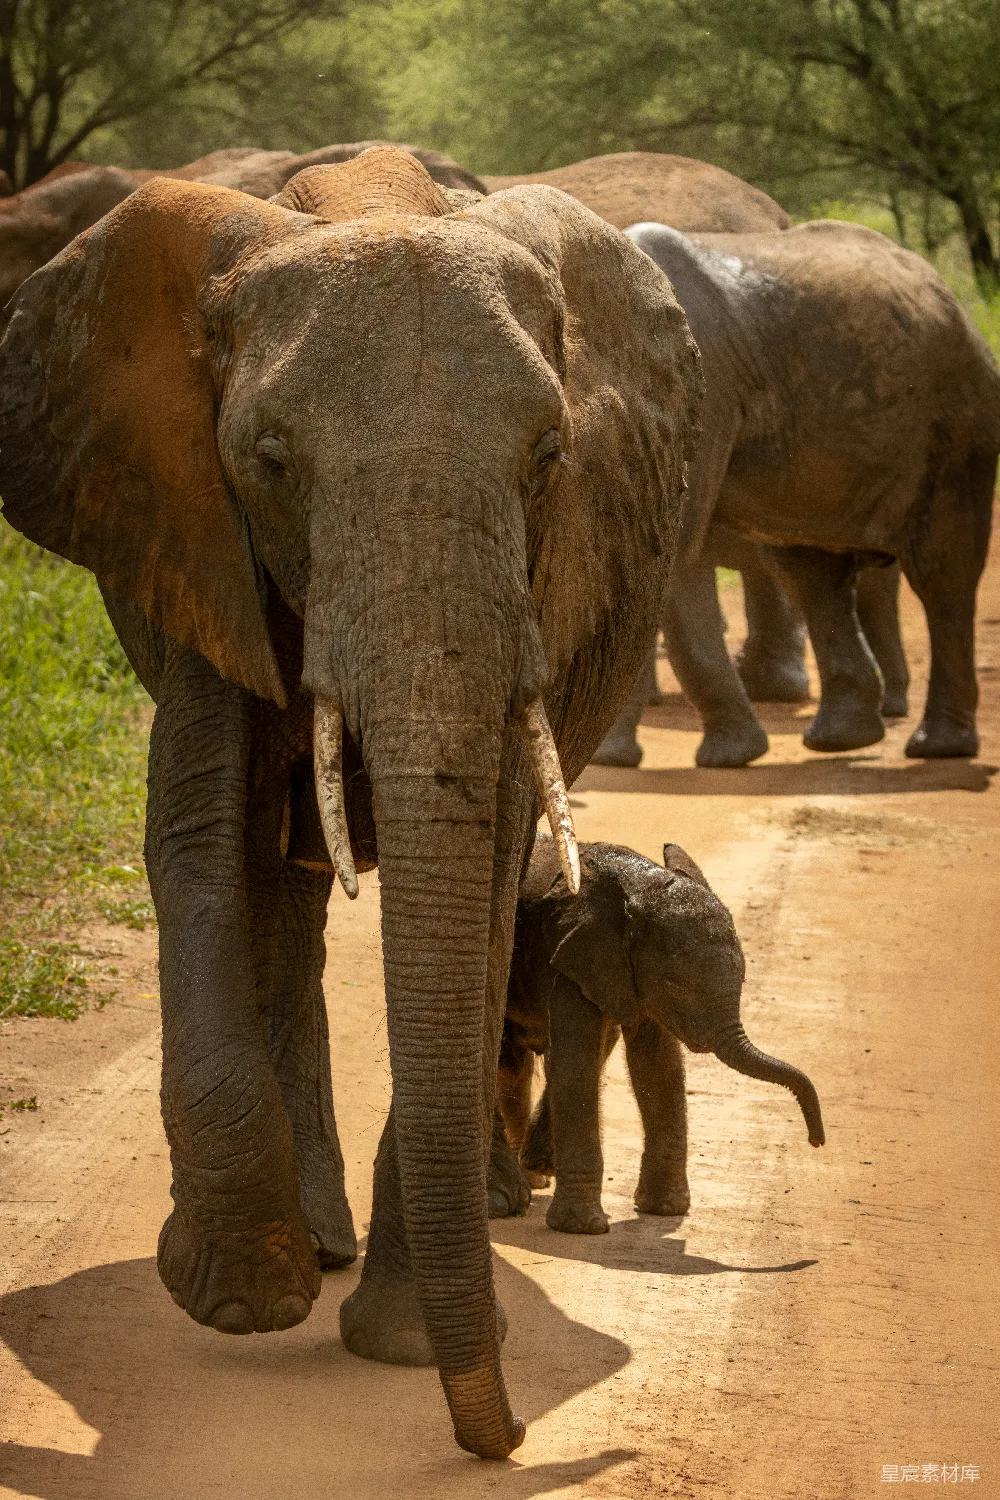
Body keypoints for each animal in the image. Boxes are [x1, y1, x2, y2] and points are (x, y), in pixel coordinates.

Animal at [0, 147, 702, 1458]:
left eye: (548, 456)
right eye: (271, 461)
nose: (503, 1439)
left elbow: (485, 872)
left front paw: (405, 1347)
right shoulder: (194, 531)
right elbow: (196, 840)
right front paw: (241, 1299)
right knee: (276, 883)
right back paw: (309, 1249)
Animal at [499, 837, 824, 1235]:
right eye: (674, 984)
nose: (816, 1140)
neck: (638, 885)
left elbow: (658, 1065)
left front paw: (665, 1210)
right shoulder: (573, 956)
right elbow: (577, 1063)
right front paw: (581, 1228)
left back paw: (536, 1174)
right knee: (513, 1066)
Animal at [599, 220, 1000, 769]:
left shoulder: (703, 395)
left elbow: (666, 559)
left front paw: (701, 759)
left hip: (958, 430)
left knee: (942, 575)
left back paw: (937, 748)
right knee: (814, 575)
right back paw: (841, 740)